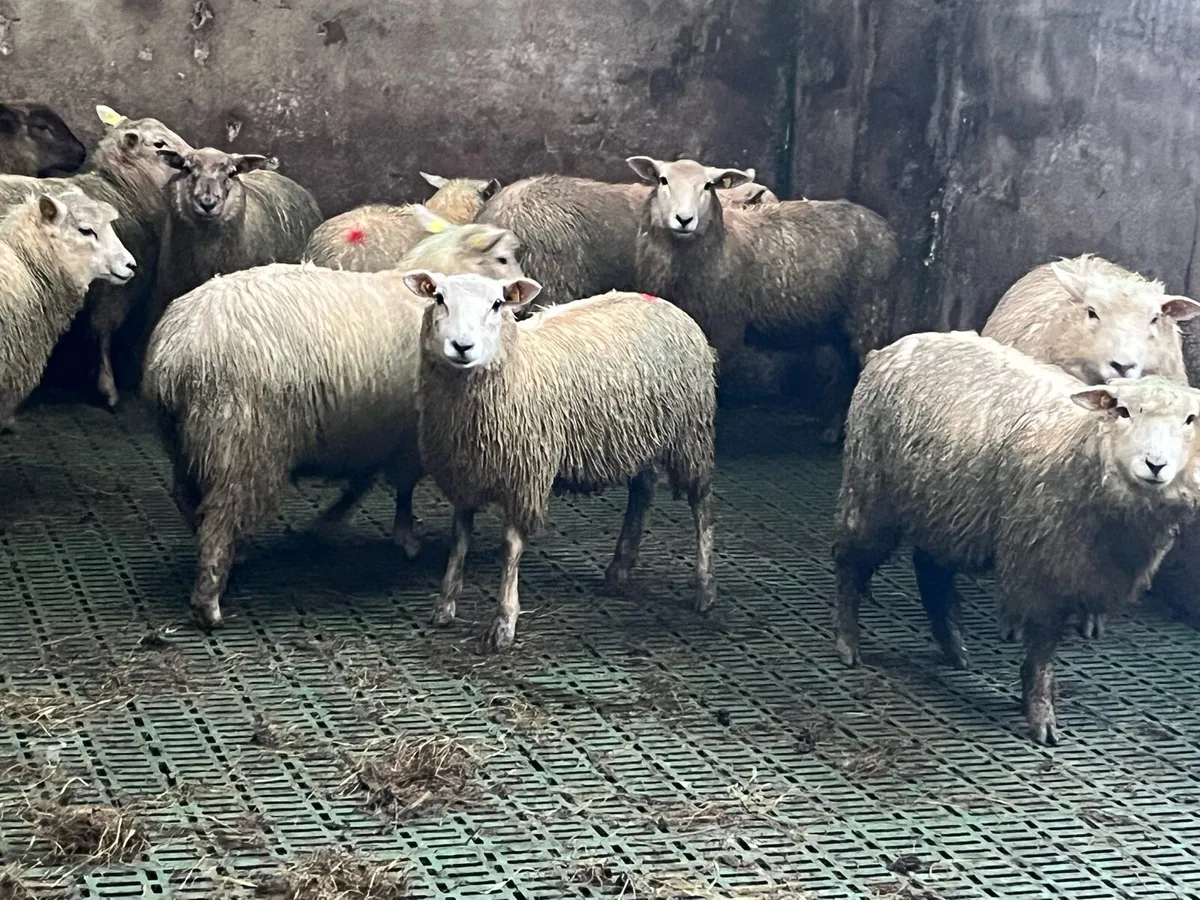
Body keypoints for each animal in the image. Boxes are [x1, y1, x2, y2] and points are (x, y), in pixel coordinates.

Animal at [142, 212, 525, 629]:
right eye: (503, 259)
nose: (523, 305)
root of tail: (178, 351)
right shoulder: (410, 435)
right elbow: (399, 486)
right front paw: (403, 537)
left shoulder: (378, 429)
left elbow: (365, 483)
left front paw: (329, 522)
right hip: (241, 442)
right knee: (219, 518)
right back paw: (208, 602)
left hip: (182, 439)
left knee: (187, 497)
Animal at [410, 271, 718, 653]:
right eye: (439, 298)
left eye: (497, 304)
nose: (462, 346)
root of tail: (664, 302)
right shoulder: (464, 469)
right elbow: (459, 537)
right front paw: (445, 604)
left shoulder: (525, 475)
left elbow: (510, 548)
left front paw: (504, 622)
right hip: (639, 436)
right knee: (643, 489)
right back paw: (619, 568)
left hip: (691, 433)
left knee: (701, 504)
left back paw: (705, 588)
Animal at [627, 156, 899, 444]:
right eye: (663, 180)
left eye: (708, 185)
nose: (684, 219)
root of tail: (885, 227)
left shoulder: (724, 330)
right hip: (840, 326)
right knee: (846, 372)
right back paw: (831, 431)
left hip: (871, 314)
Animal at [832, 330, 1200, 745]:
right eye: (1121, 411)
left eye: (1190, 419)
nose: (1155, 464)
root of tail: (896, 346)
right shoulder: (1039, 565)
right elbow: (1042, 645)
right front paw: (1040, 712)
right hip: (871, 489)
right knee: (849, 560)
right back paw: (848, 641)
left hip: (942, 506)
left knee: (930, 571)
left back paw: (952, 645)